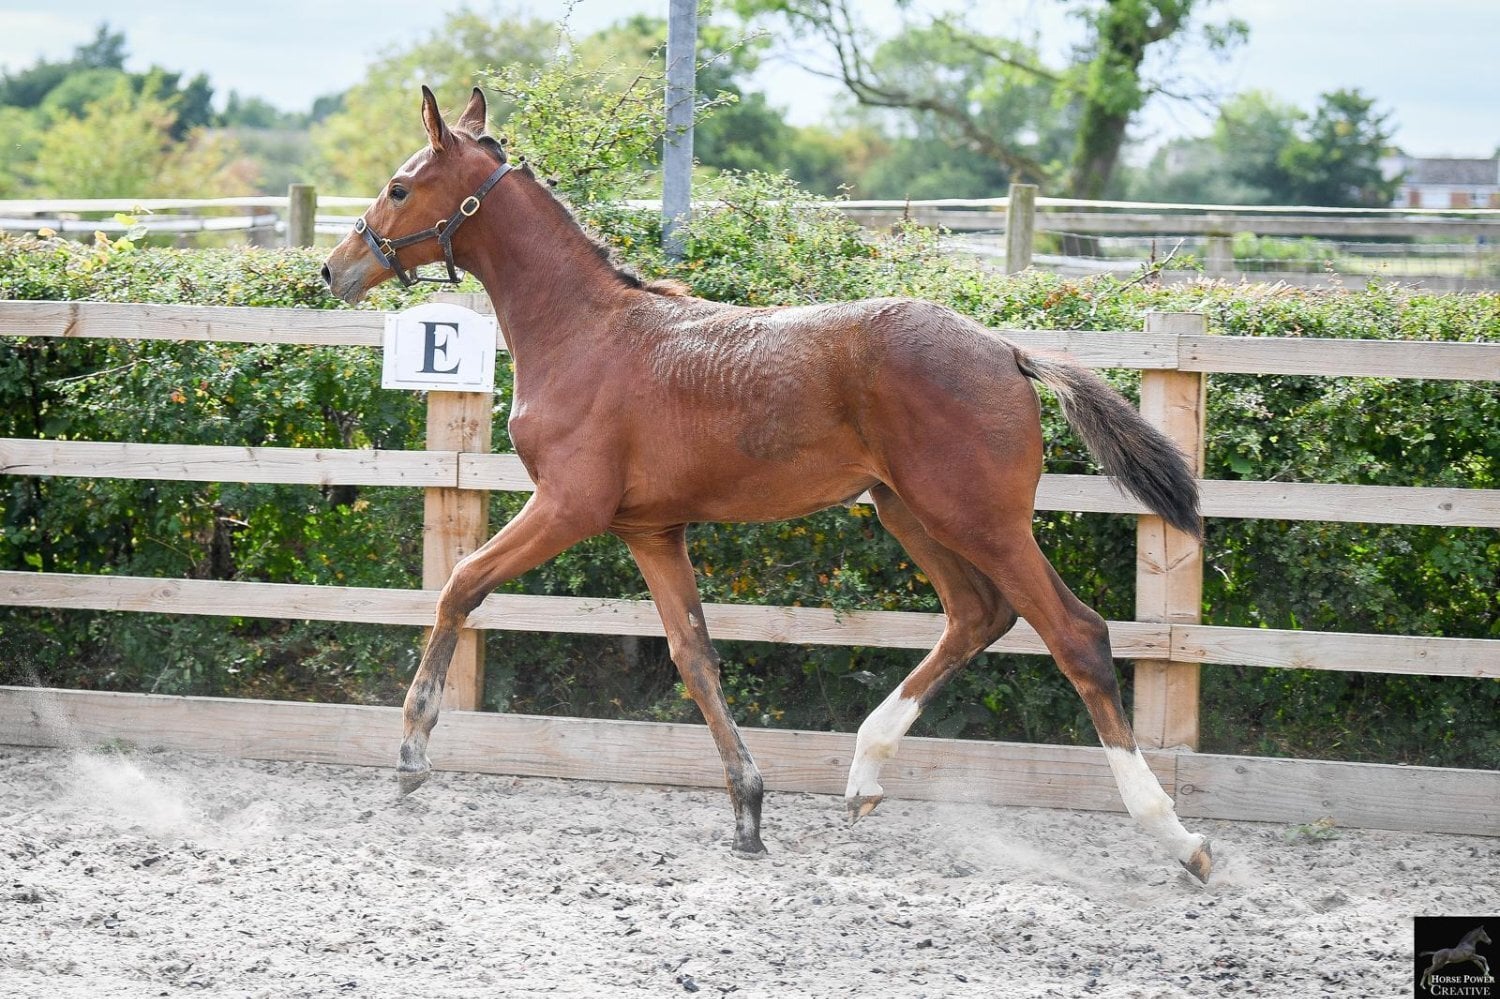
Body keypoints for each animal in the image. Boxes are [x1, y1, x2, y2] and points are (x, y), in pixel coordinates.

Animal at [321, 86, 1214, 882]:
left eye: (399, 187)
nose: (336, 267)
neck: (584, 331)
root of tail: (1006, 348)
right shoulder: (651, 529)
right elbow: (695, 657)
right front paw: (748, 808)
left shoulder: (568, 506)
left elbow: (460, 585)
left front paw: (411, 750)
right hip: (910, 512)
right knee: (977, 613)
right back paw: (864, 772)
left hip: (981, 519)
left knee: (1076, 634)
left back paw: (1178, 836)